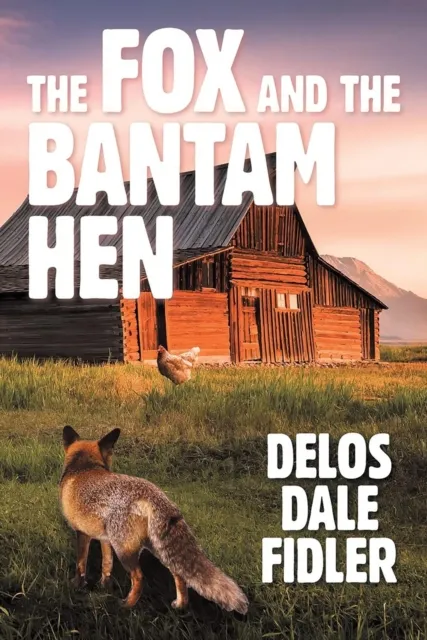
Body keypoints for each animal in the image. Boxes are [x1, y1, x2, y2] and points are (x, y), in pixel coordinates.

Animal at [59, 426, 249, 614]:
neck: (84, 468)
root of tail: (155, 495)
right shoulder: (104, 538)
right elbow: (107, 565)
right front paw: (103, 585)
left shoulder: (82, 533)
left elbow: (80, 565)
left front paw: (77, 586)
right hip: (156, 548)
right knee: (179, 574)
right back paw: (181, 604)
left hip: (126, 550)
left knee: (139, 578)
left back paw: (126, 605)